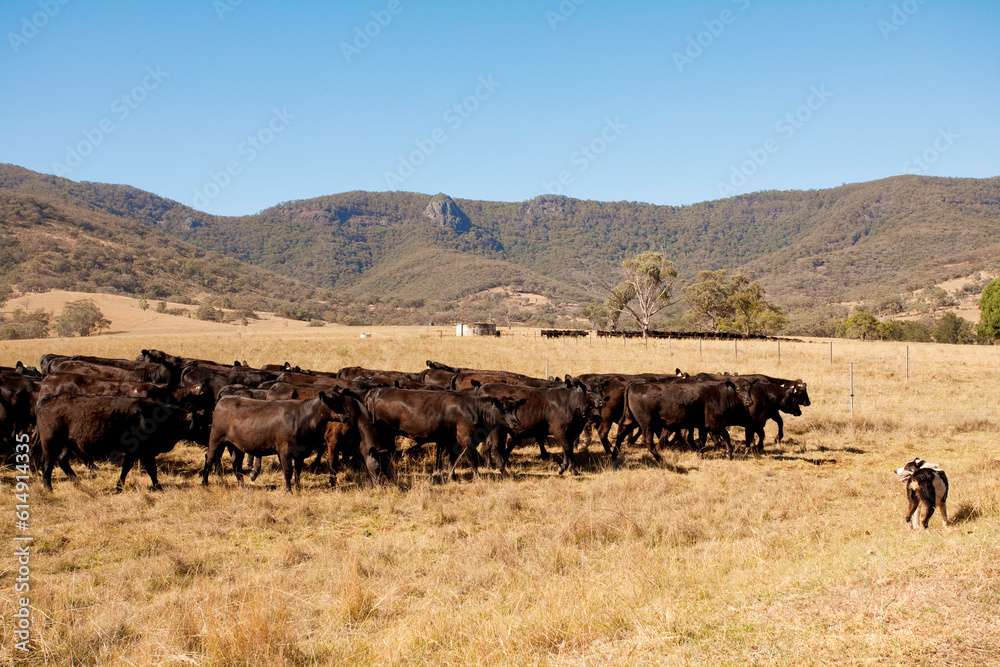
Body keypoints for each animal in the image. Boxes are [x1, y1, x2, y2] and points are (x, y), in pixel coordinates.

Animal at [36, 394, 203, 492]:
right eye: (204, 424)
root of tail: (47, 399)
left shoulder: (137, 451)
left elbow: (131, 468)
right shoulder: (143, 451)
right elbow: (148, 469)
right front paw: (157, 486)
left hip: (67, 444)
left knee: (62, 461)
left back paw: (77, 483)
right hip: (51, 443)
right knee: (48, 465)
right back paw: (48, 488)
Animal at [200, 392, 349, 492]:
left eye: (342, 402)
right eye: (333, 402)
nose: (347, 416)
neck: (302, 418)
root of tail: (225, 398)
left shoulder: (300, 452)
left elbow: (298, 471)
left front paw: (297, 487)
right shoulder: (284, 451)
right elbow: (288, 471)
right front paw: (288, 490)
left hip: (237, 446)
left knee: (236, 464)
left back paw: (242, 485)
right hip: (216, 439)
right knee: (209, 459)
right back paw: (204, 482)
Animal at [365, 388, 525, 481]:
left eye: (515, 408)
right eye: (504, 409)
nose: (517, 423)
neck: (475, 409)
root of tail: (377, 391)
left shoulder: (453, 440)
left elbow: (452, 459)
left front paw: (452, 477)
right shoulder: (466, 439)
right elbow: (473, 460)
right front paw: (477, 478)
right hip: (386, 434)